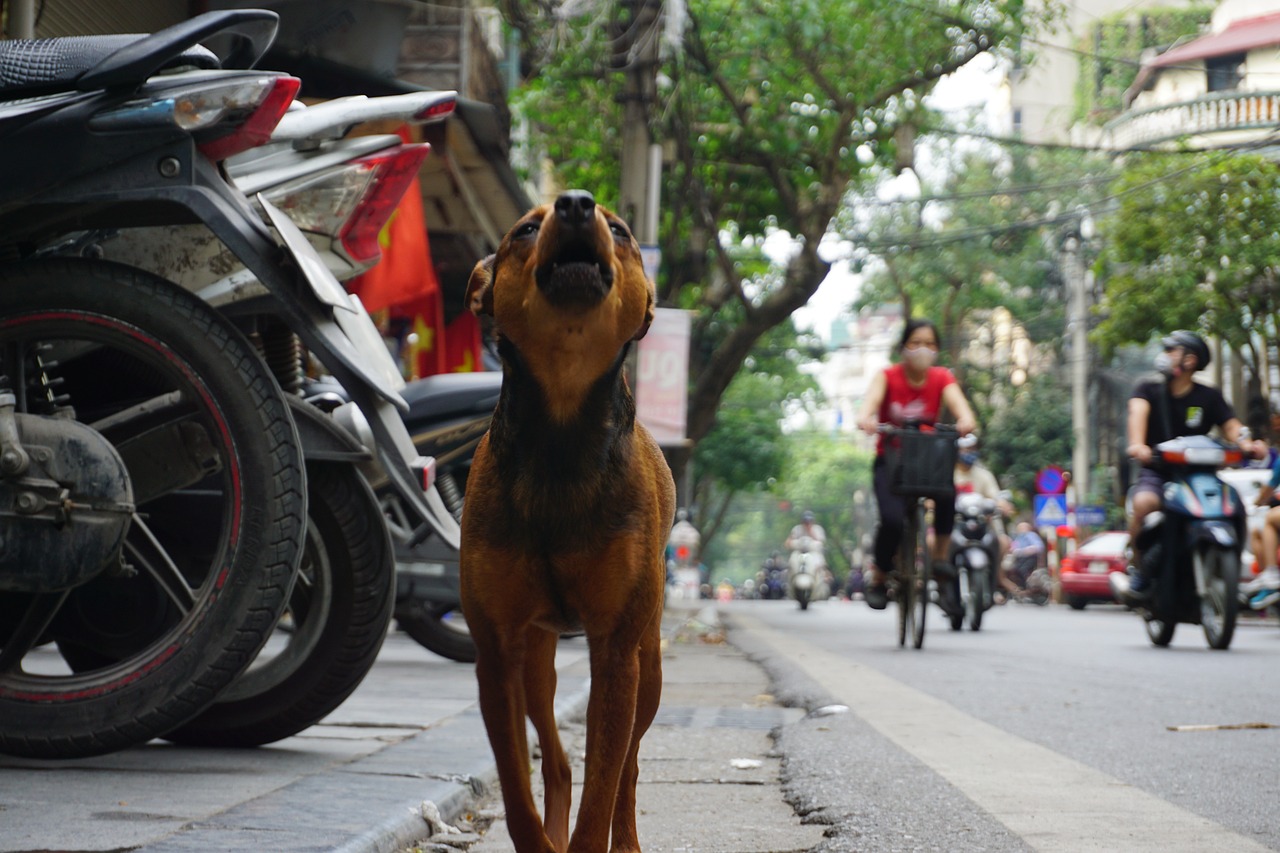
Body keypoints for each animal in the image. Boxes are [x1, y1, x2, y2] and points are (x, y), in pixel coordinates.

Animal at [460, 189, 680, 845]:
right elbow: (516, 793)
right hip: (539, 659)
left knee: (630, 766)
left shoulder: (615, 652)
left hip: (648, 663)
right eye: (524, 231)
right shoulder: (496, 654)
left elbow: (602, 792)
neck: (560, 434)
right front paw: (542, 837)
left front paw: (593, 835)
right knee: (556, 759)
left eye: (621, 230)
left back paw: (627, 840)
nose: (577, 203)